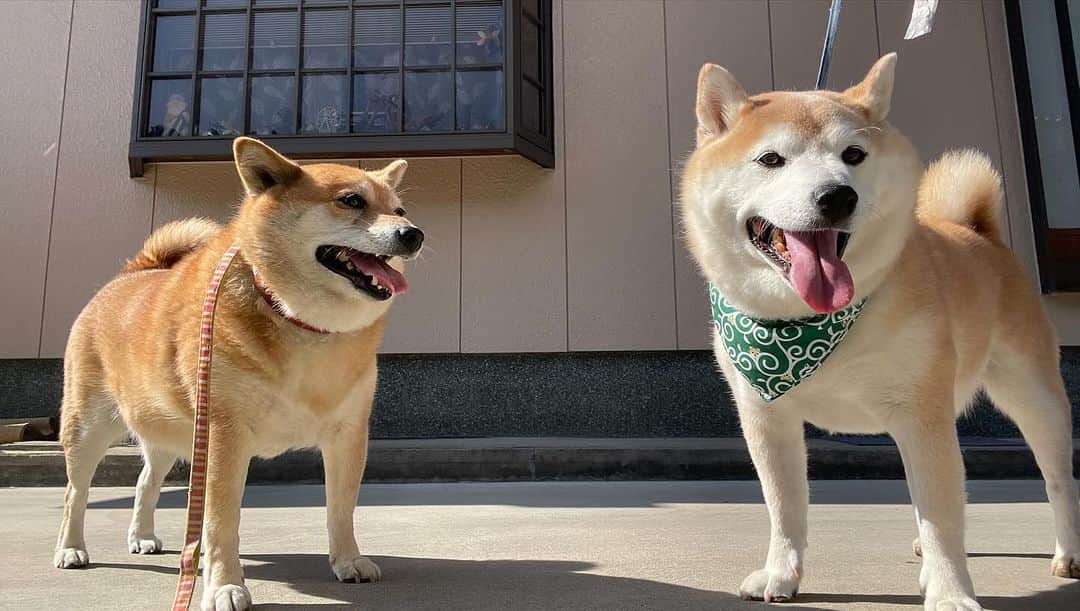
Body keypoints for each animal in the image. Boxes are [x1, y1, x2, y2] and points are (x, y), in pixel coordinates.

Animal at [55, 140, 421, 611]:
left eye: (400, 209)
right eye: (352, 201)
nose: (413, 233)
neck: (303, 323)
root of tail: (130, 273)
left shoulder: (347, 435)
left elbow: (341, 510)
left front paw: (347, 560)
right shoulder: (225, 438)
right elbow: (220, 522)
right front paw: (224, 585)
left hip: (169, 437)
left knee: (144, 483)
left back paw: (143, 536)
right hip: (90, 430)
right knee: (75, 493)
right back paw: (71, 548)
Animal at [682, 55, 1080, 608]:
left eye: (853, 155)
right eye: (770, 159)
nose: (836, 196)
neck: (807, 324)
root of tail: (979, 233)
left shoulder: (921, 412)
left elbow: (942, 514)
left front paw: (951, 592)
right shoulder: (767, 417)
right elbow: (785, 506)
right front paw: (781, 574)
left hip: (1032, 395)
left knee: (1058, 479)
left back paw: (1068, 552)